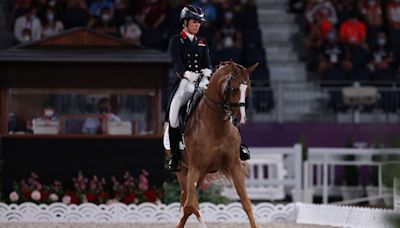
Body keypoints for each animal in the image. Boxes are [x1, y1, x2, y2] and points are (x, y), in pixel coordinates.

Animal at [176, 59, 260, 227]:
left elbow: (246, 203)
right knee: (188, 202)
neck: (216, 128)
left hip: (201, 174)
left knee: (185, 200)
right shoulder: (194, 168)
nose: (239, 120)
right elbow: (191, 206)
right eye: (233, 89)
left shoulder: (234, 165)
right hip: (183, 170)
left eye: (248, 90)